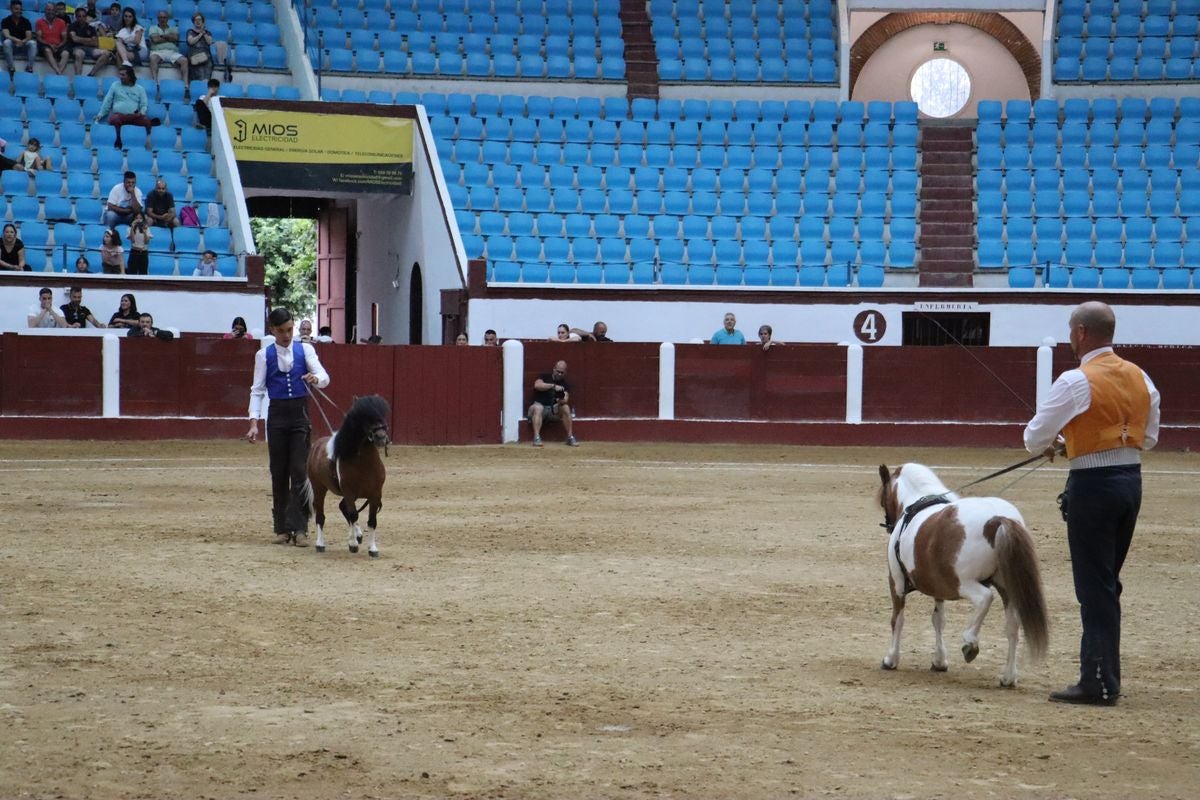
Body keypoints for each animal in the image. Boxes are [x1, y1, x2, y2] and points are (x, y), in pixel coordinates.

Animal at [304, 395, 391, 557]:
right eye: (364, 417)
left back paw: (359, 535)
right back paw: (320, 544)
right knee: (321, 515)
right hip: (319, 488)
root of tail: (316, 446)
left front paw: (372, 548)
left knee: (343, 507)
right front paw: (353, 544)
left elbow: (372, 520)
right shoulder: (349, 492)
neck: (364, 464)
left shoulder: (375, 495)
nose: (381, 437)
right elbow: (353, 514)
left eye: (382, 415)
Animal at [876, 463, 1049, 687]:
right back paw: (1008, 677)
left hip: (965, 584)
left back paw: (970, 642)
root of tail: (997, 519)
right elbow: (938, 620)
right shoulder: (938, 589)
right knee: (1012, 628)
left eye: (883, 499)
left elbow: (898, 620)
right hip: (1008, 588)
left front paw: (891, 659)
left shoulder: (896, 584)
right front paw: (939, 661)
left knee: (985, 599)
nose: (888, 524)